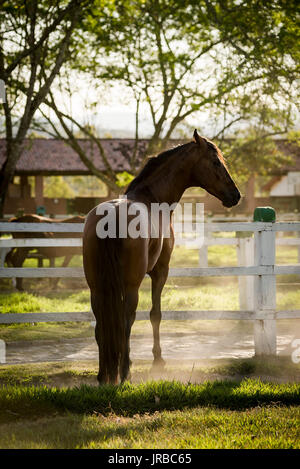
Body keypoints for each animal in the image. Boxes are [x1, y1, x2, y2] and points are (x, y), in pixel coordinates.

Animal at [81, 131, 239, 384]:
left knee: (101, 323)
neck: (152, 198)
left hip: (96, 288)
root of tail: (110, 217)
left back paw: (104, 374)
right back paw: (124, 372)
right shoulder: (160, 270)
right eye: (216, 162)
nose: (235, 195)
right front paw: (158, 360)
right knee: (126, 320)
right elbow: (155, 314)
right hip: (132, 285)